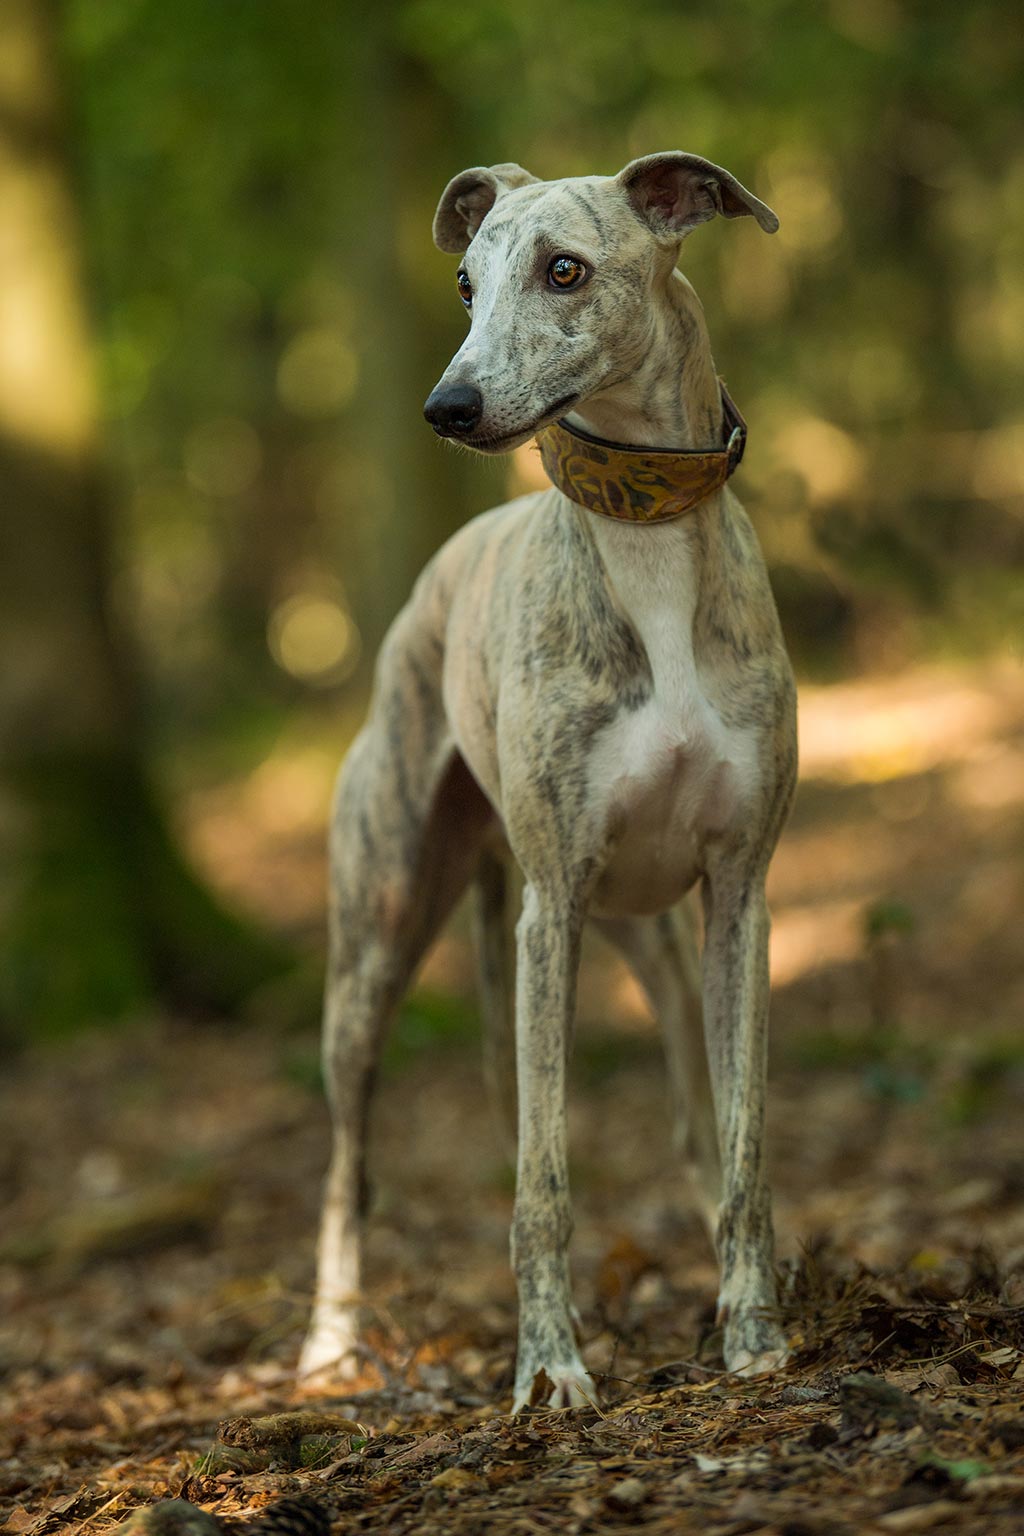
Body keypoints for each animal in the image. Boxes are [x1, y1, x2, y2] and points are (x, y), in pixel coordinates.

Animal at [300, 152, 798, 1406]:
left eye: (563, 271)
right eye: (465, 285)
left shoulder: (741, 898)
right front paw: (550, 1368)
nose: (446, 408)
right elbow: (541, 1180)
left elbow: (742, 1146)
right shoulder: (551, 913)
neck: (645, 542)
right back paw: (328, 1341)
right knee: (345, 1168)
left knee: (689, 1121)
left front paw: (753, 1331)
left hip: (650, 941)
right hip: (377, 949)